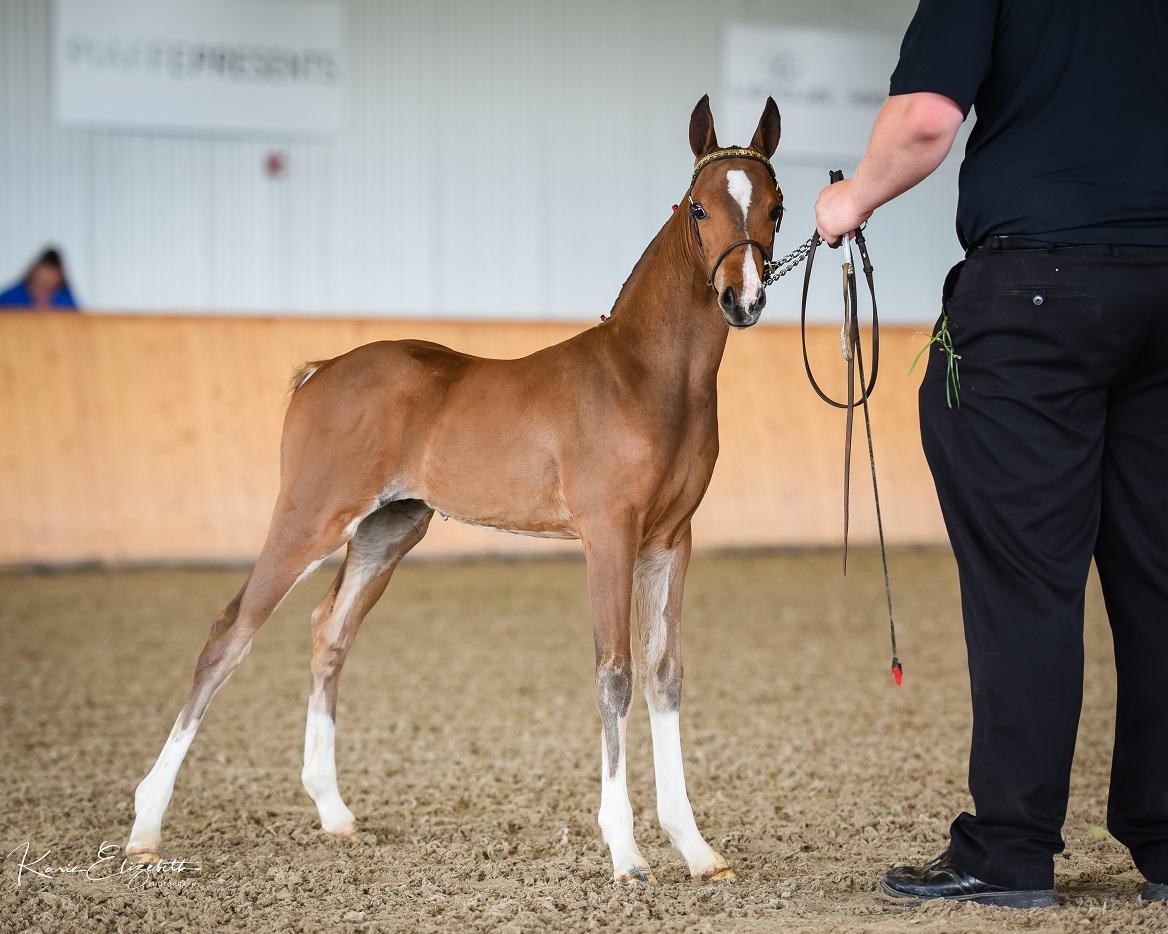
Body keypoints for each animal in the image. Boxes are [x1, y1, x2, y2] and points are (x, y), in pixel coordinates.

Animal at [126, 93, 784, 885]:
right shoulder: (609, 536)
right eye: (698, 207)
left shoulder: (668, 541)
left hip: (388, 531)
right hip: (310, 519)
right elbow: (616, 675)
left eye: (776, 206)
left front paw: (696, 848)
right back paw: (145, 826)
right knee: (231, 632)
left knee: (329, 632)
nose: (742, 299)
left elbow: (666, 674)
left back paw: (335, 812)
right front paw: (626, 854)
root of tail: (322, 370)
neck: (645, 377)